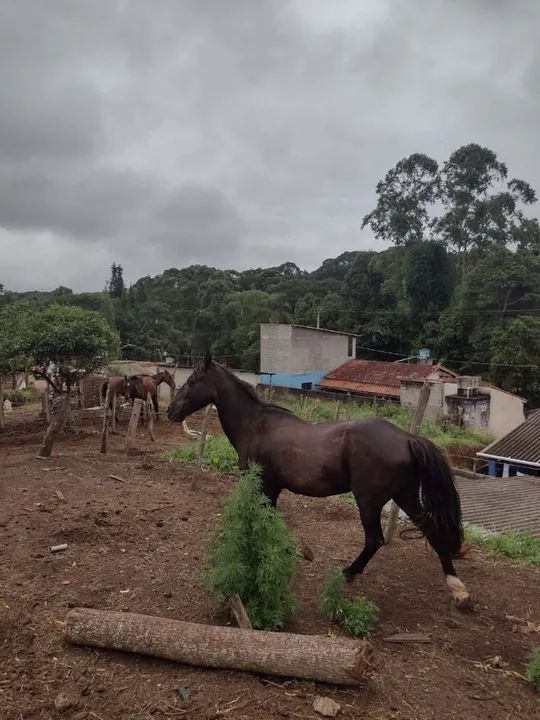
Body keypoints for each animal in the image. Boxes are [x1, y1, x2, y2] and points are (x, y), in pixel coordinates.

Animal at [167, 351, 471, 608]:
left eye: (193, 380)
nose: (171, 410)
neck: (255, 425)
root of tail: (408, 439)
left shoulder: (265, 486)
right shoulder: (273, 489)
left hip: (369, 501)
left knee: (375, 539)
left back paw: (349, 572)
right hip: (405, 496)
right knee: (430, 528)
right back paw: (457, 588)